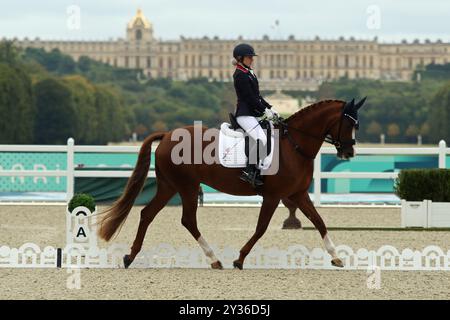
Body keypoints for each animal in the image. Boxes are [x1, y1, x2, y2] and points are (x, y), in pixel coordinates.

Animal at [97, 98, 366, 270]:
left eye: (357, 124)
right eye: (349, 123)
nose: (349, 152)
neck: (294, 145)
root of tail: (167, 135)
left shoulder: (299, 194)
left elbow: (319, 222)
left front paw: (336, 257)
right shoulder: (273, 196)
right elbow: (261, 228)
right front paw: (240, 259)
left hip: (169, 186)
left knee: (147, 214)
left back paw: (130, 257)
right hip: (186, 186)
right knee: (187, 220)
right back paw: (214, 259)